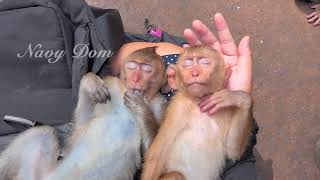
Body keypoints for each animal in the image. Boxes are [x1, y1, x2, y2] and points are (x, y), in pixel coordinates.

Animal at [0, 46, 169, 180]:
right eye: (132, 67)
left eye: (147, 70)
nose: (135, 79)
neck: (123, 91)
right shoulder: (111, 84)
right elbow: (80, 126)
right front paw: (91, 81)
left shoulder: (160, 104)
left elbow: (153, 158)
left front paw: (139, 104)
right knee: (43, 131)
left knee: (43, 131)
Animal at [140, 45, 252, 180]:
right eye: (187, 64)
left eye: (204, 62)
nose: (194, 73)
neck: (198, 102)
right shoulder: (178, 108)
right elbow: (156, 157)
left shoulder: (226, 110)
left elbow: (232, 151)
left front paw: (237, 97)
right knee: (176, 175)